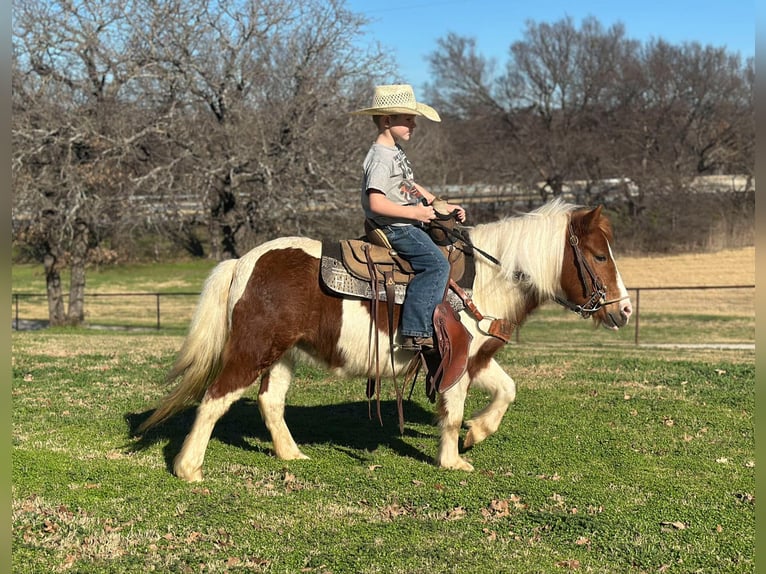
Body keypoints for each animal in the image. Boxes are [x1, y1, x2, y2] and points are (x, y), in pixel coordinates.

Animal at [138, 199, 632, 481]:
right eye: (598, 255)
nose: (624, 310)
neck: (485, 279)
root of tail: (243, 262)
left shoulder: (475, 358)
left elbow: (507, 391)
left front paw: (476, 434)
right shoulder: (454, 361)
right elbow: (453, 412)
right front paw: (453, 460)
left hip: (283, 354)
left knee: (270, 402)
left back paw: (292, 455)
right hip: (254, 349)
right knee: (215, 398)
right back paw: (188, 469)